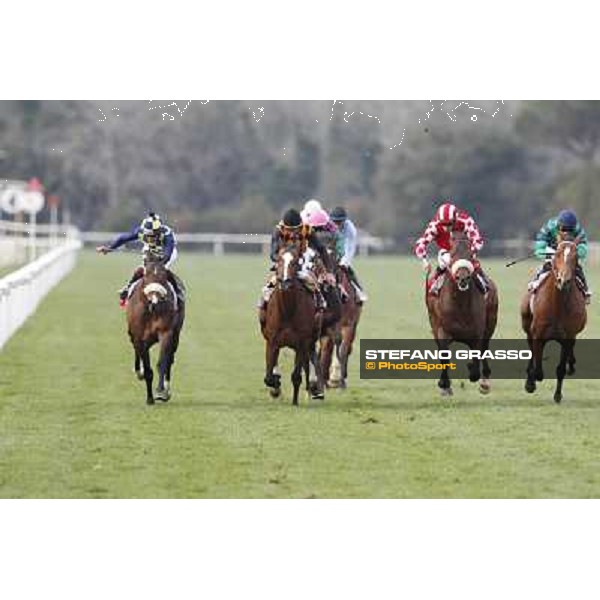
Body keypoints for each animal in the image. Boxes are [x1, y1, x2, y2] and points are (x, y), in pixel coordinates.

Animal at [125, 255, 184, 406]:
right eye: (146, 275)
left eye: (164, 275)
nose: (154, 297)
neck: (152, 310)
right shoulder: (140, 338)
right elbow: (147, 370)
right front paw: (149, 398)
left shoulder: (166, 333)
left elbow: (162, 363)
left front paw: (160, 392)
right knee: (136, 349)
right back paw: (138, 371)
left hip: (176, 336)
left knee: (170, 359)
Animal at [258, 241, 324, 406]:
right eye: (279, 261)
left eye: (295, 262)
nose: (285, 282)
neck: (287, 311)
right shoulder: (272, 341)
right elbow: (268, 377)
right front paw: (275, 385)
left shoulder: (301, 342)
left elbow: (296, 376)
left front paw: (295, 401)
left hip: (310, 340)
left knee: (310, 360)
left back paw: (313, 388)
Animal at [424, 232, 500, 396]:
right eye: (452, 255)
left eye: (471, 255)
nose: (463, 278)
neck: (460, 304)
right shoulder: (442, 330)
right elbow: (444, 355)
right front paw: (444, 385)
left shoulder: (478, 331)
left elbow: (478, 356)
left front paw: (474, 371)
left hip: (491, 321)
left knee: (485, 348)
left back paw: (484, 382)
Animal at [520, 234, 584, 404]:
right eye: (557, 255)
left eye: (576, 256)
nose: (564, 281)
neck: (557, 307)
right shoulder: (538, 334)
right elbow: (537, 367)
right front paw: (531, 383)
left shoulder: (567, 337)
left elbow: (560, 369)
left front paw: (557, 395)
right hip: (527, 327)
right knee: (531, 352)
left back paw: (571, 365)